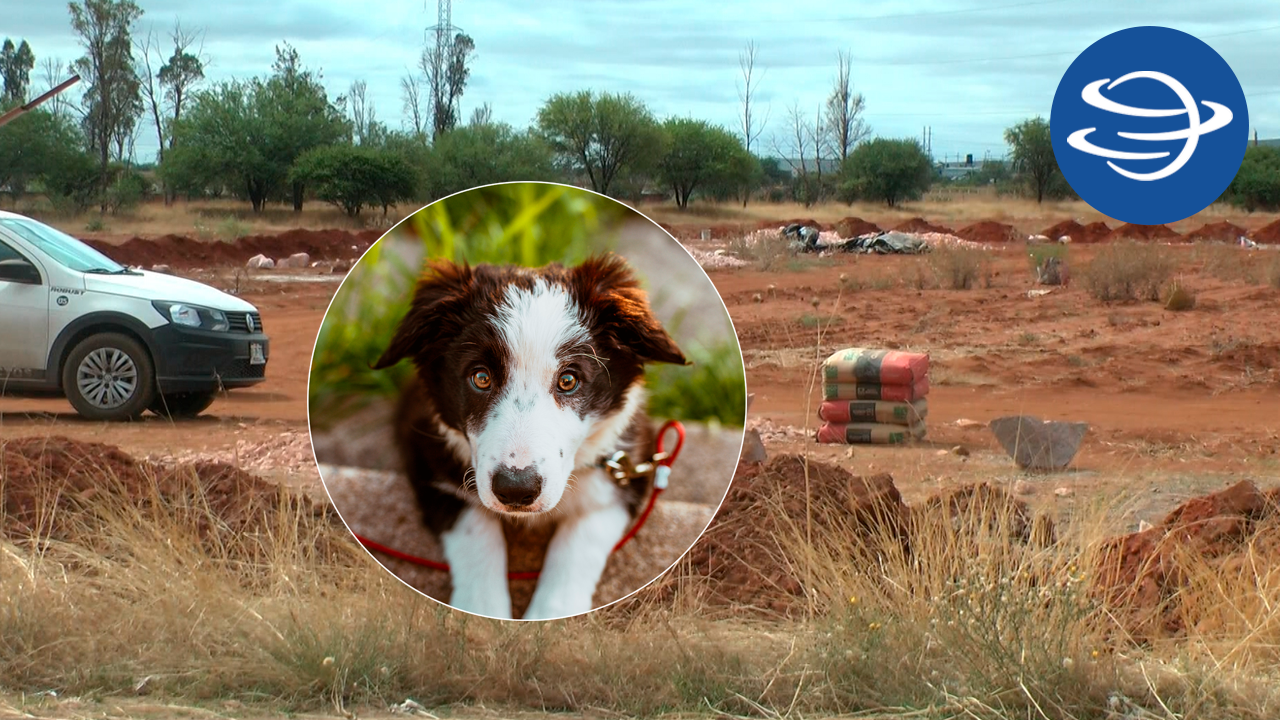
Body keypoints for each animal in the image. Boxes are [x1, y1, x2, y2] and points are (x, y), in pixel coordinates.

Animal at [373, 252, 691, 617]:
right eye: (480, 377)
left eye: (568, 380)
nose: (516, 490)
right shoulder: (427, 457)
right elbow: (475, 531)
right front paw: (483, 609)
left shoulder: (628, 466)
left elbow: (580, 541)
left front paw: (550, 613)